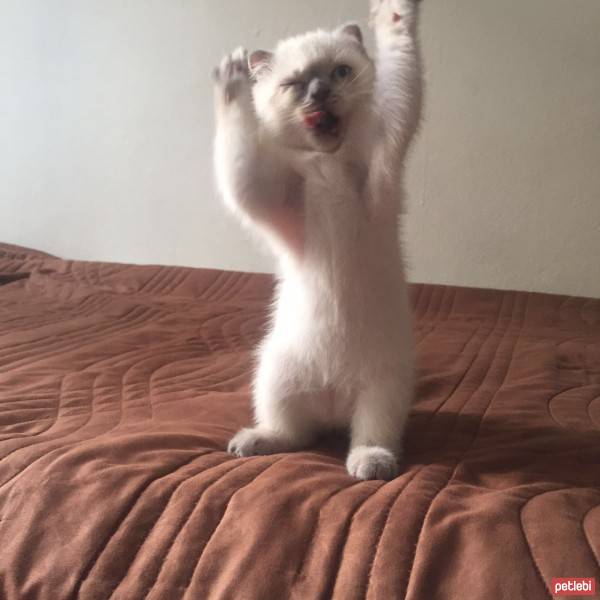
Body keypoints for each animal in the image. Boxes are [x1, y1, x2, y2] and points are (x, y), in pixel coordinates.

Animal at [213, 0, 424, 478]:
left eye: (339, 72)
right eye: (294, 85)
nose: (319, 95)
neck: (327, 167)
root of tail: (334, 403)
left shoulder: (388, 146)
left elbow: (401, 63)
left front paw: (393, 13)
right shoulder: (261, 194)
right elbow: (239, 156)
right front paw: (233, 77)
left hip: (382, 391)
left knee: (364, 437)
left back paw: (370, 463)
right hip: (273, 374)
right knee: (295, 435)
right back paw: (254, 441)